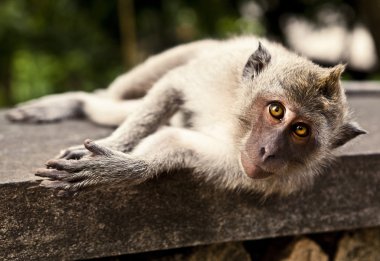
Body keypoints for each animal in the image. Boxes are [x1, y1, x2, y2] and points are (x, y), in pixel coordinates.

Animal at [7, 36, 366, 195]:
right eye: (276, 110)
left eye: (301, 130)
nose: (269, 152)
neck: (234, 121)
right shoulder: (215, 72)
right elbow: (172, 85)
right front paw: (116, 144)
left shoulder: (246, 165)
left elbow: (176, 141)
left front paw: (120, 168)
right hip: (195, 49)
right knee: (117, 97)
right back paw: (76, 102)